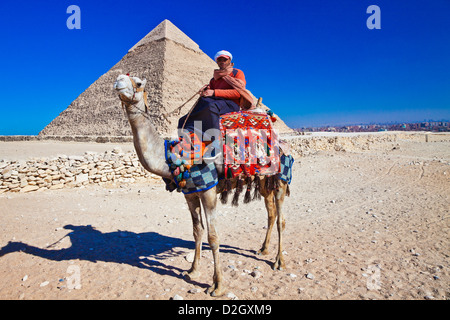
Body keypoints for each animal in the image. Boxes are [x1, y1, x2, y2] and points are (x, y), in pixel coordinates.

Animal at [113, 74, 288, 296]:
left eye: (138, 83)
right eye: (123, 77)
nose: (118, 80)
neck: (175, 156)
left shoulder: (208, 191)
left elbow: (213, 237)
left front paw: (217, 285)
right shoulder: (190, 194)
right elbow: (197, 231)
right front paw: (192, 271)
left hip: (281, 177)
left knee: (281, 219)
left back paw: (279, 261)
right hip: (264, 180)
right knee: (271, 213)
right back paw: (263, 249)